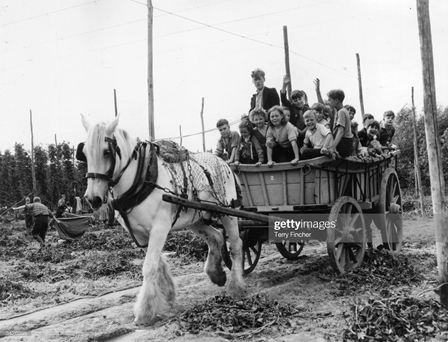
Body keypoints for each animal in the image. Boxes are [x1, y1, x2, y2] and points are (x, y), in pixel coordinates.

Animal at [82, 114, 245, 324]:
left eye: (106, 152)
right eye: (84, 153)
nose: (92, 198)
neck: (141, 177)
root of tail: (223, 162)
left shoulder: (160, 228)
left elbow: (149, 266)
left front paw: (145, 311)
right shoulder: (140, 234)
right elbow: (157, 264)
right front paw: (167, 293)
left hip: (228, 212)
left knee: (237, 244)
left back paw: (236, 285)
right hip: (196, 219)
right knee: (216, 237)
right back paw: (216, 274)